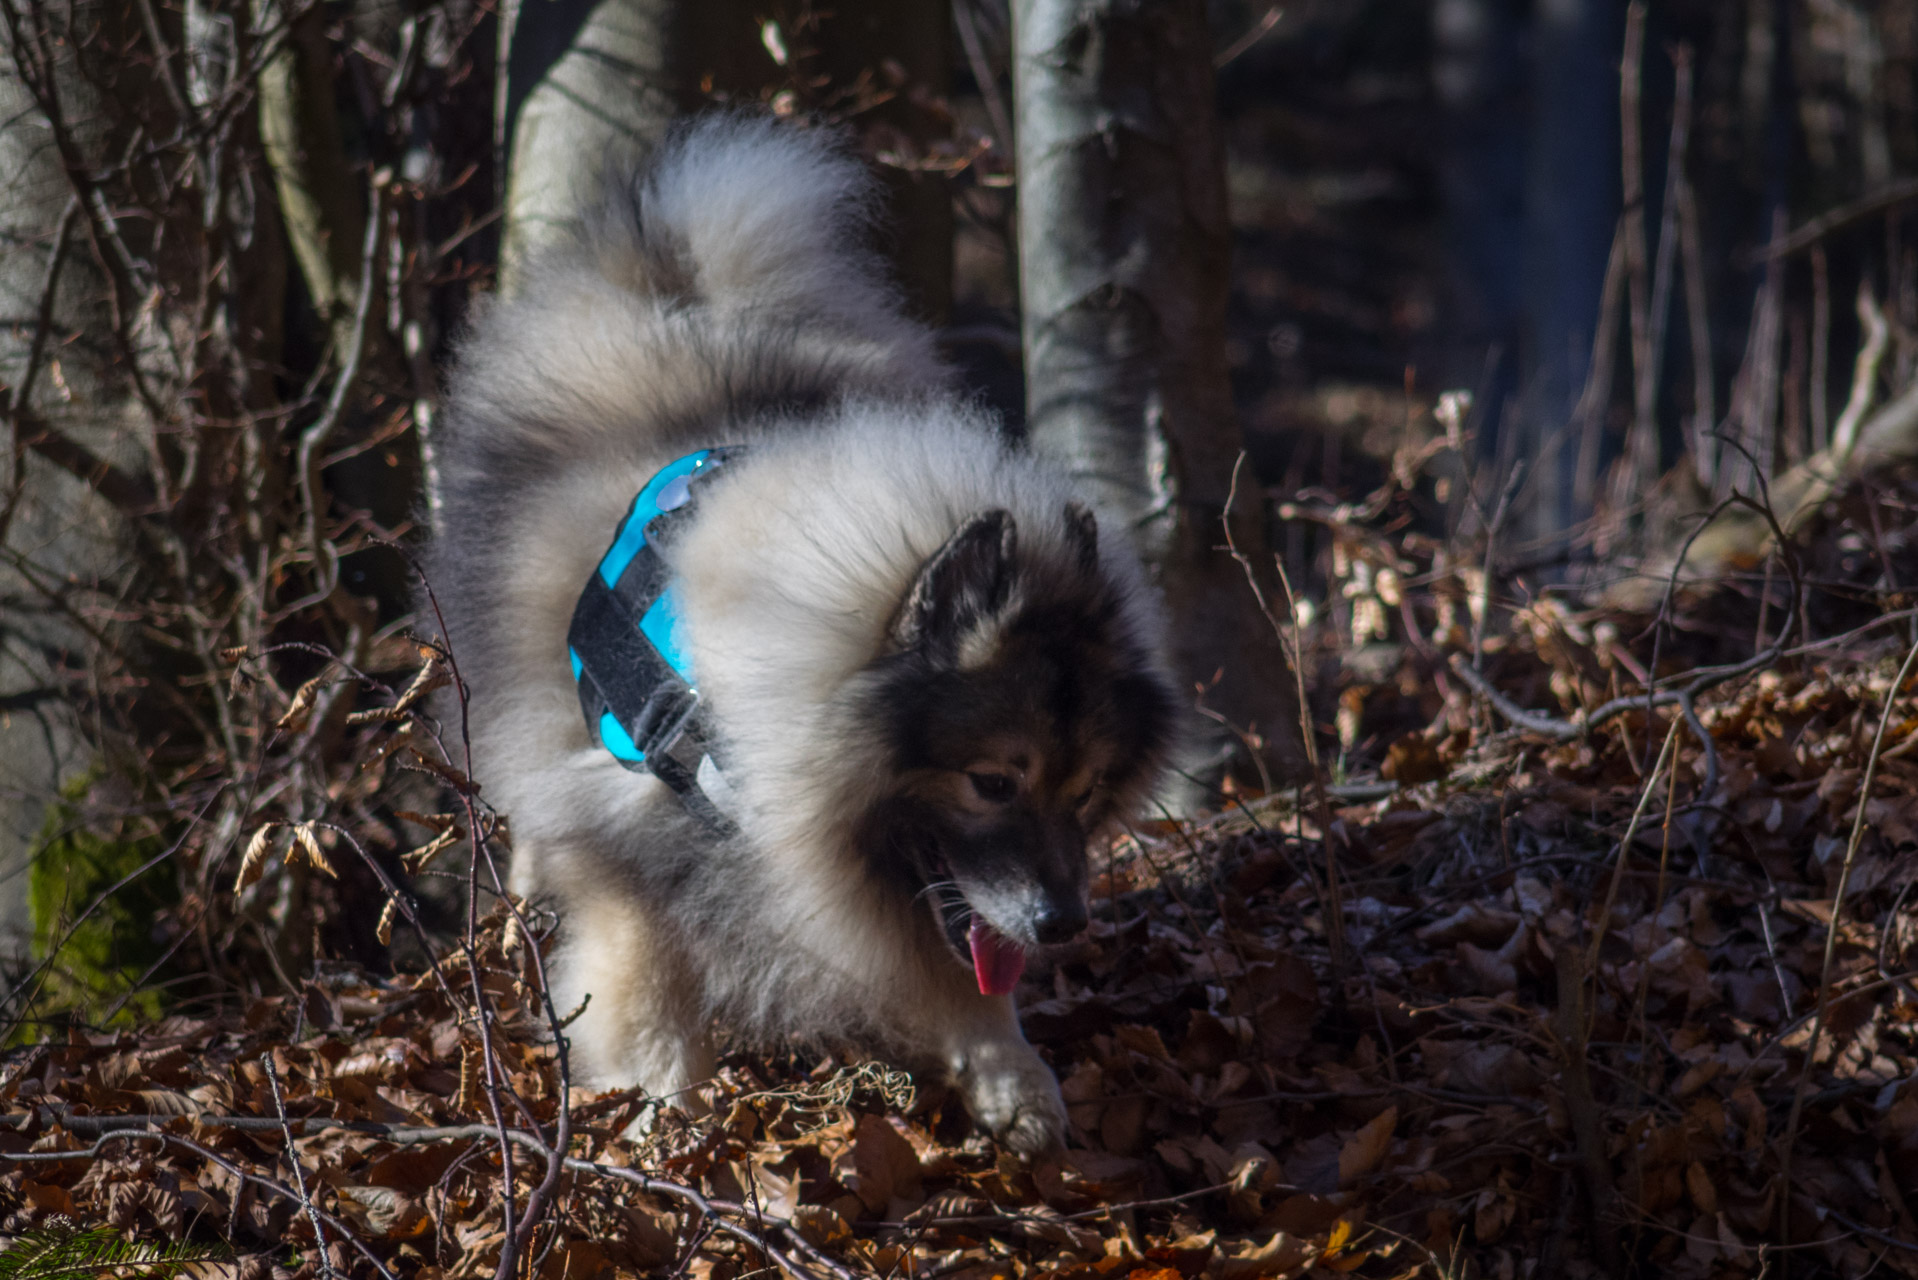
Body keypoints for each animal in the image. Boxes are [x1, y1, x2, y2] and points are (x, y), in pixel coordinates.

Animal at [431, 115, 1181, 1159]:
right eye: (993, 783)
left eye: (1087, 791)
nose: (1064, 921)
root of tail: (672, 292)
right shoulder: (632, 857)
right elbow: (649, 1004)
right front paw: (662, 1123)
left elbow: (961, 971)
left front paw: (1013, 1080)